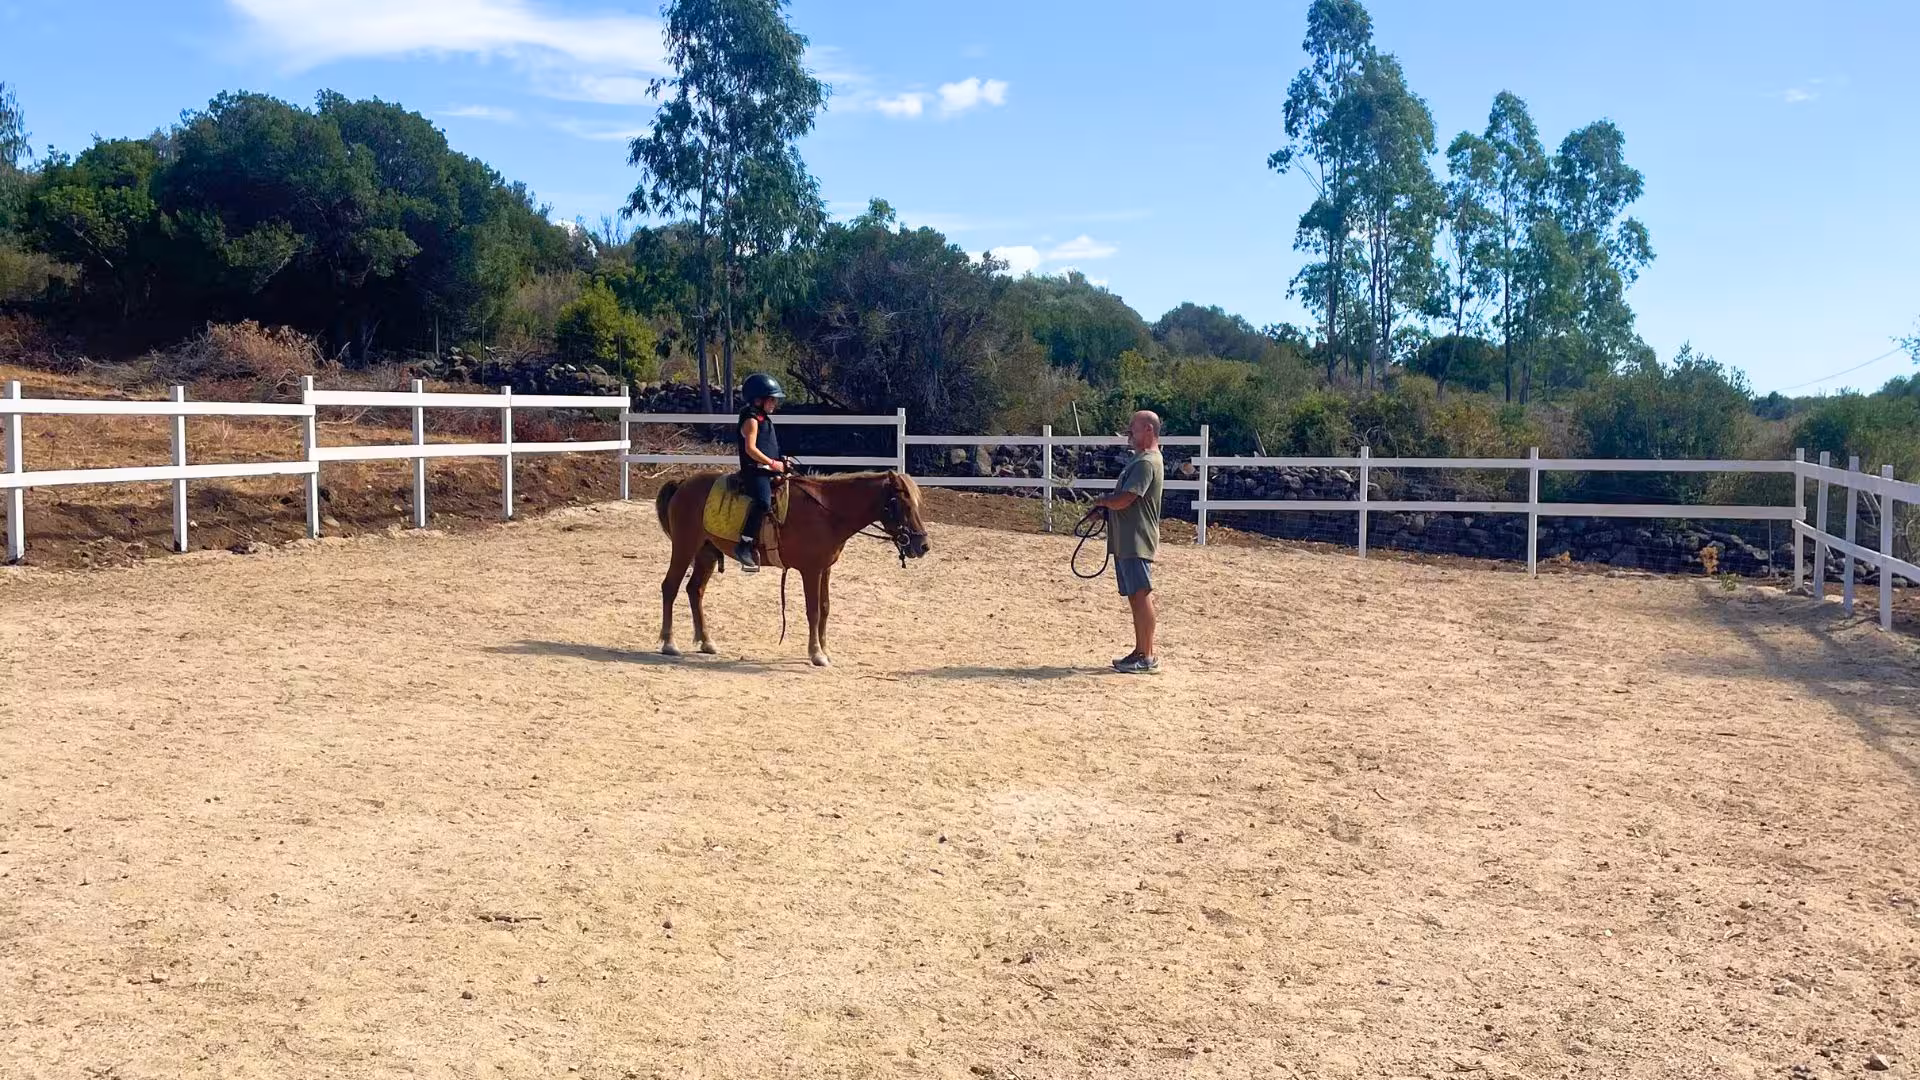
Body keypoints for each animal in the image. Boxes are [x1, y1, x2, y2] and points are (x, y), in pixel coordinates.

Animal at [652, 469, 930, 667]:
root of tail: (683, 482)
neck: (827, 512)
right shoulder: (811, 571)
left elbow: (825, 608)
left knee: (694, 590)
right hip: (685, 547)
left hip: (706, 553)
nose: (923, 545)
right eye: (903, 505)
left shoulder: (825, 569)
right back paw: (669, 643)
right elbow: (813, 611)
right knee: (670, 587)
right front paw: (816, 654)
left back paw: (706, 641)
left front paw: (825, 649)